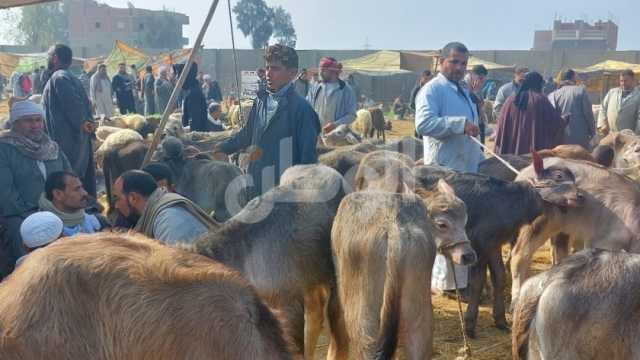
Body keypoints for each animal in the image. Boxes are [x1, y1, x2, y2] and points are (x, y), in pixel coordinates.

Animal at [332, 184, 478, 358]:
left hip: (363, 320)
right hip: (420, 320)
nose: (468, 255)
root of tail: (394, 226)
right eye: (442, 224)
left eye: (464, 222)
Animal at [416, 153, 584, 338]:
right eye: (559, 176)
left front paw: (500, 320)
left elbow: (500, 277)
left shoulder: (494, 245)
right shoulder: (479, 245)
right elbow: (477, 282)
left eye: (573, 178)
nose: (580, 196)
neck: (508, 202)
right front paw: (470, 325)